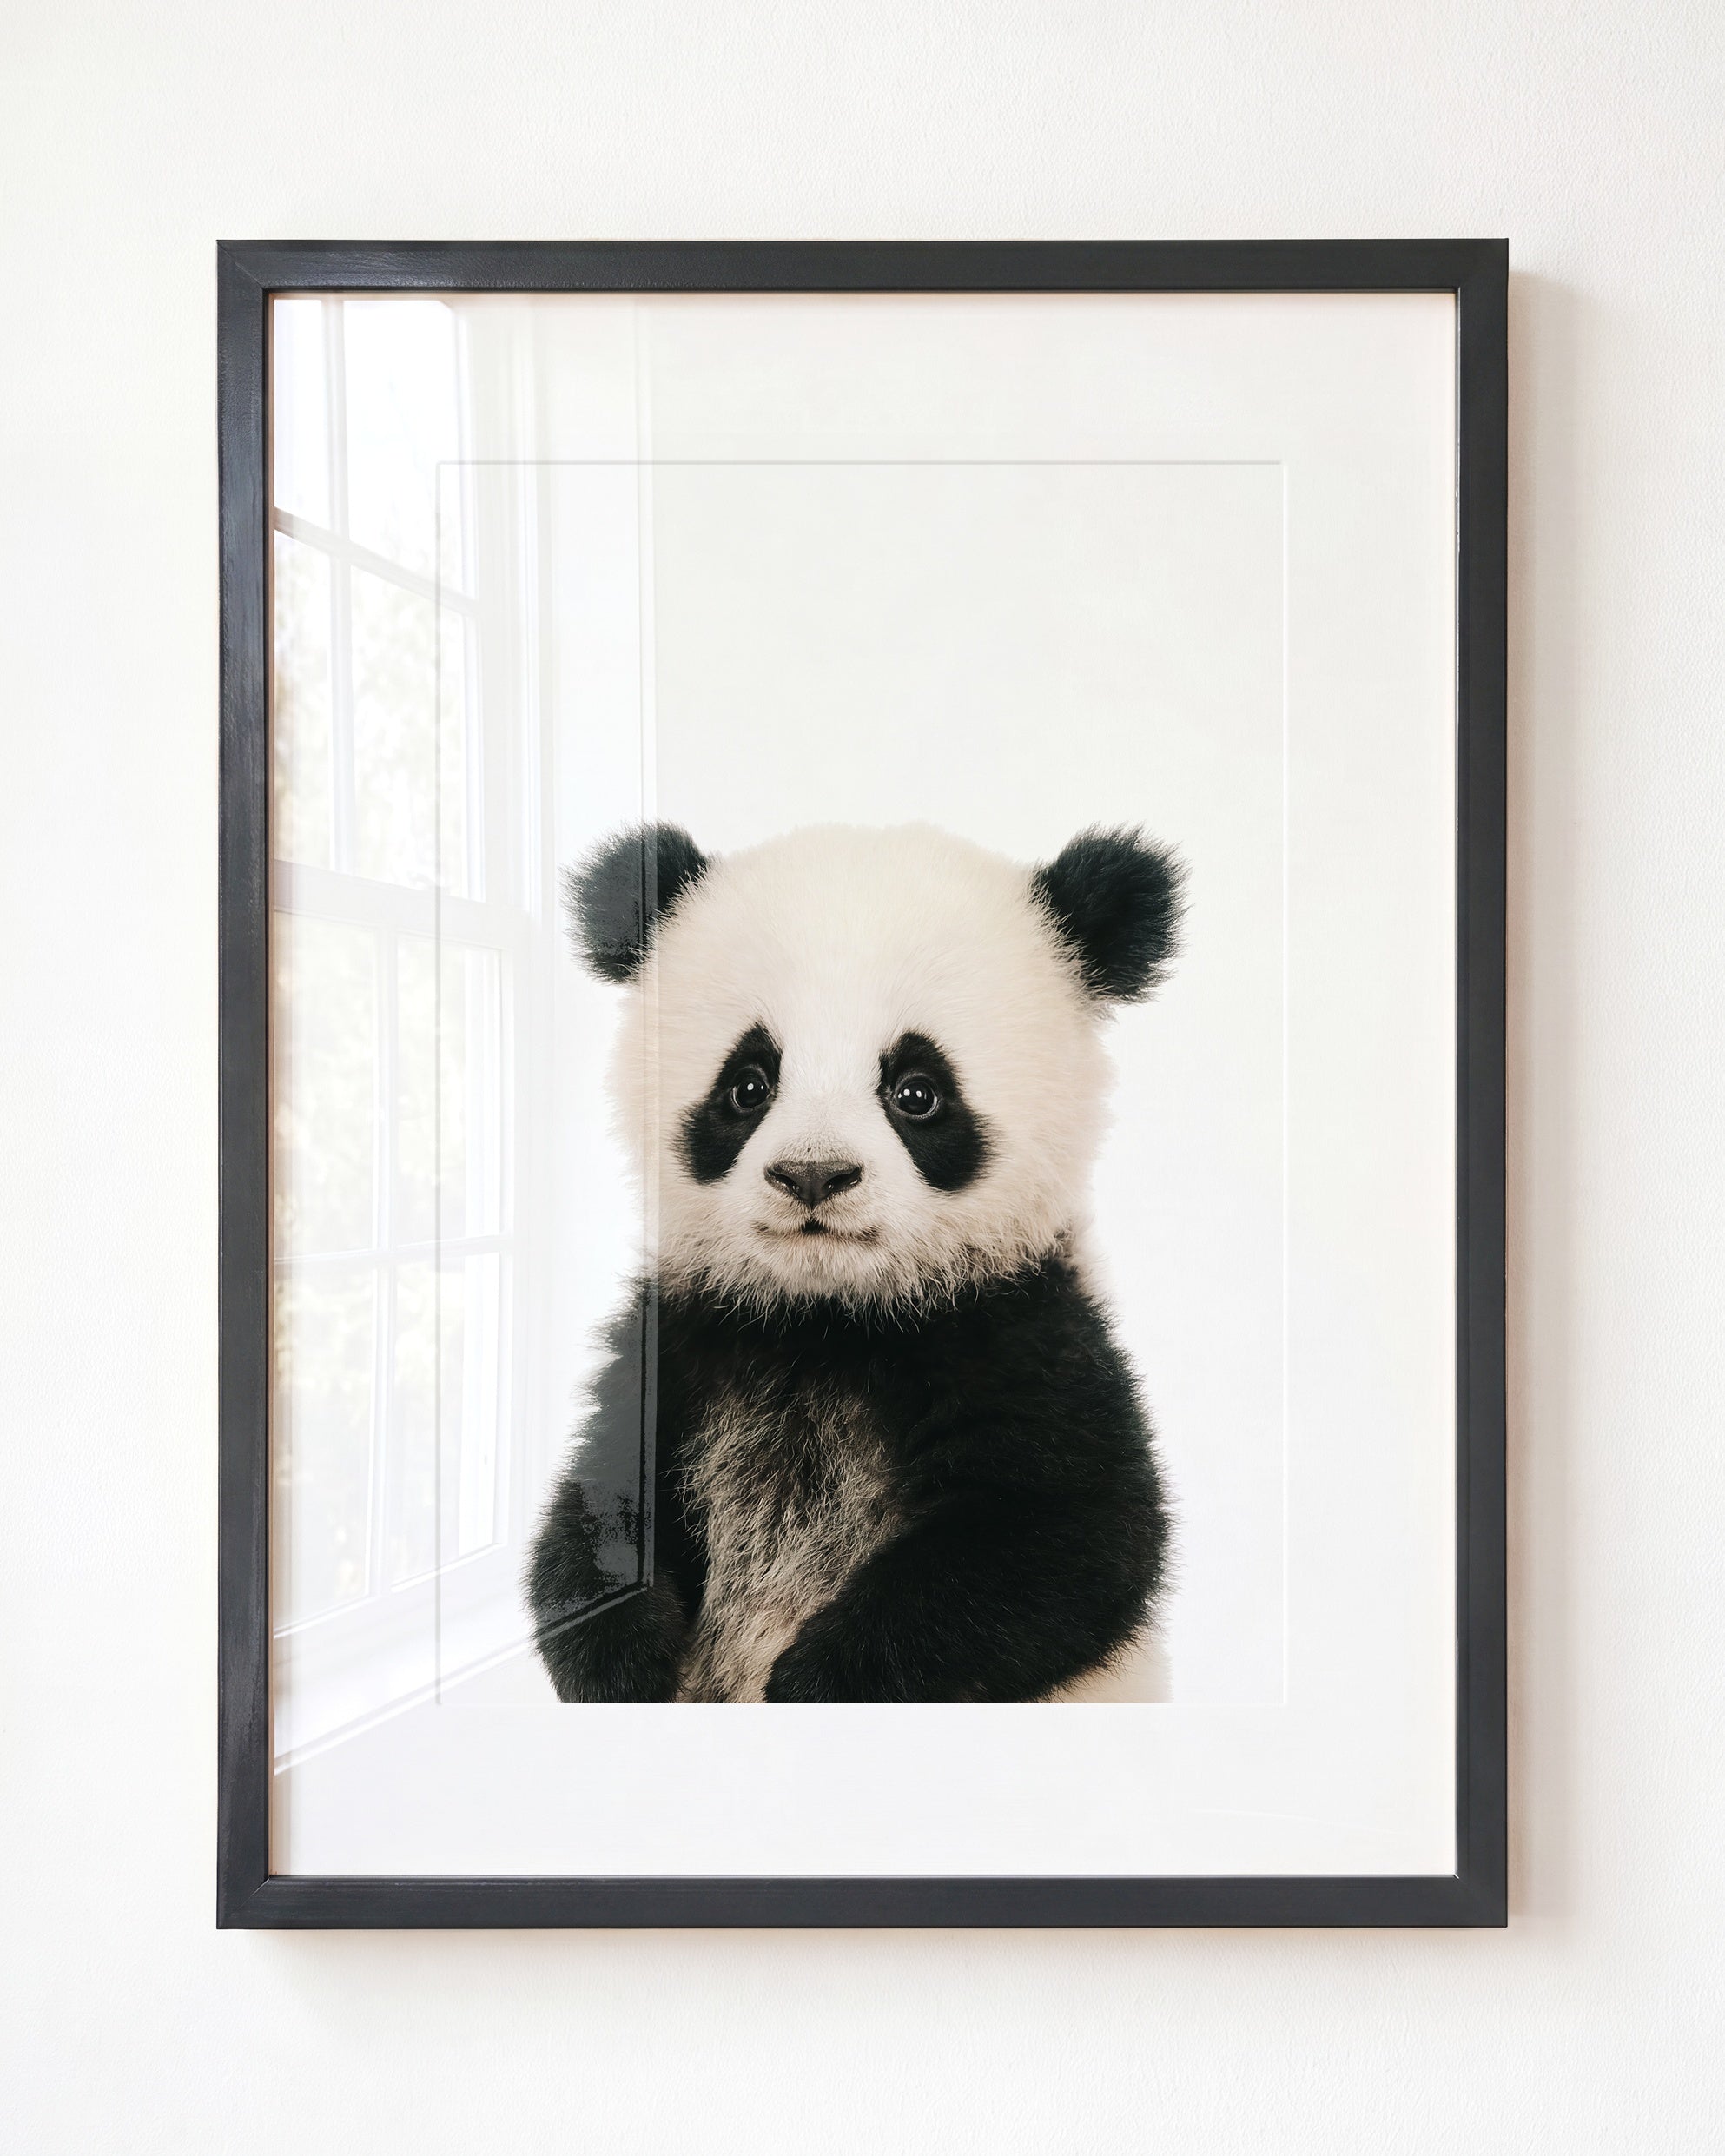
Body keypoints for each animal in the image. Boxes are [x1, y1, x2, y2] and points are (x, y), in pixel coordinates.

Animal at [527, 818, 1184, 1704]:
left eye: (917, 1091)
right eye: (748, 1084)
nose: (814, 1174)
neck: (828, 1317)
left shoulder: (1023, 1332)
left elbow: (1069, 1537)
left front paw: (815, 1682)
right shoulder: (682, 1337)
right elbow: (596, 1505)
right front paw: (624, 1663)